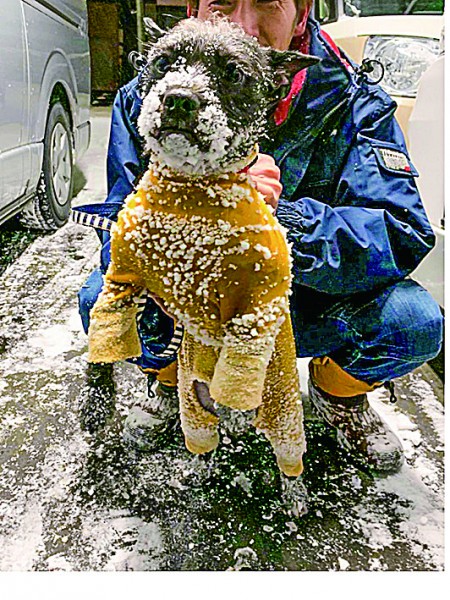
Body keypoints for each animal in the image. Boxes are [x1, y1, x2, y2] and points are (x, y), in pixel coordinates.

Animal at [88, 16, 318, 480]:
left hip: (283, 413)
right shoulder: (123, 274)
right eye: (163, 63)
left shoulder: (260, 302)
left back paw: (291, 486)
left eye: (233, 73)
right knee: (203, 442)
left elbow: (244, 350)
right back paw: (198, 467)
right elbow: (111, 313)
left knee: (288, 458)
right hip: (192, 408)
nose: (178, 98)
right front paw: (105, 355)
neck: (190, 195)